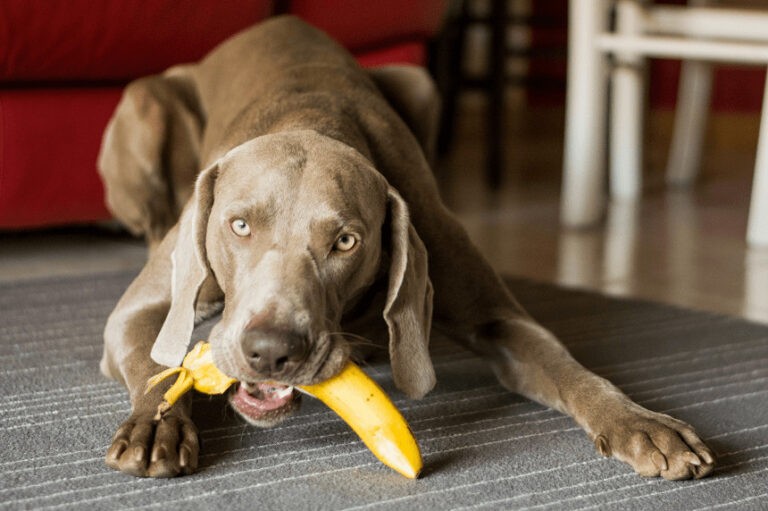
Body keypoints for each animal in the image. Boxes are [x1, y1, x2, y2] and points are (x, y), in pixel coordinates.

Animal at [99, 15, 716, 480]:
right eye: (240, 226)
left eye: (346, 241)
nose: (271, 351)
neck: (312, 120)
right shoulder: (139, 311)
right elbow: (154, 363)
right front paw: (156, 424)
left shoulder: (494, 313)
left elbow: (568, 367)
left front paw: (639, 422)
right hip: (145, 102)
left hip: (420, 80)